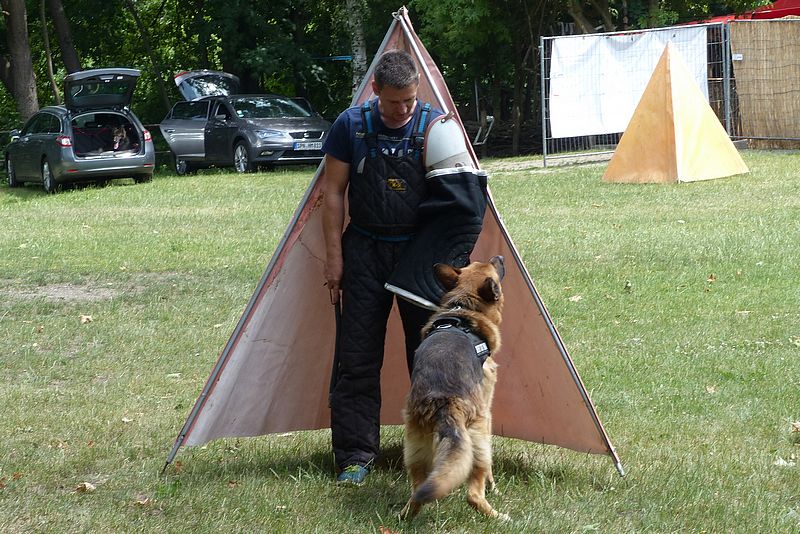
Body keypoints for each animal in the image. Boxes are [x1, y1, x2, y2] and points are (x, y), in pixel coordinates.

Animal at [398, 258, 506, 520]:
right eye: (492, 267)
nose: (499, 257)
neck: (463, 308)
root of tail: (443, 402)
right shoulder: (487, 408)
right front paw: (495, 486)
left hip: (415, 449)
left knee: (418, 493)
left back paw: (405, 515)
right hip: (478, 440)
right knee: (473, 494)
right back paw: (498, 516)